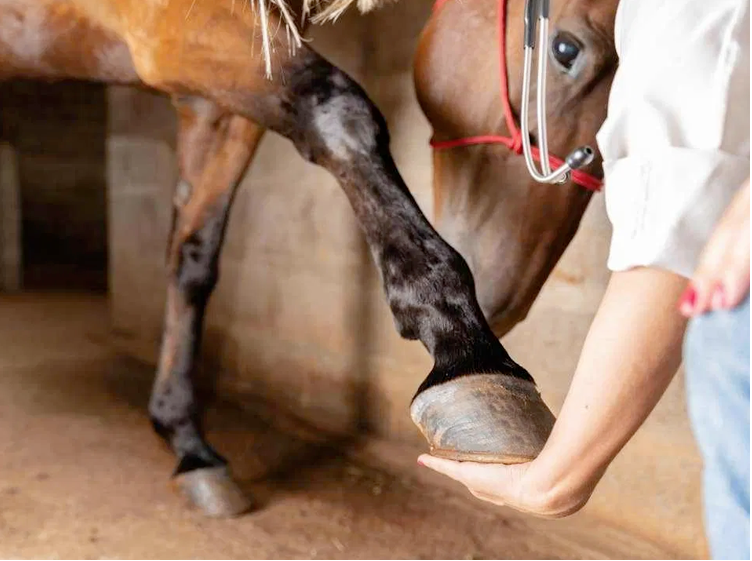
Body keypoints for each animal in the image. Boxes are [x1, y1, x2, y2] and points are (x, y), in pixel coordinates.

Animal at [0, 0, 616, 516]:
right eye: (566, 50)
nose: (504, 296)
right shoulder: (174, 27)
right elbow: (338, 110)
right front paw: (466, 349)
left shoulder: (217, 100)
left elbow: (192, 259)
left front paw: (187, 442)